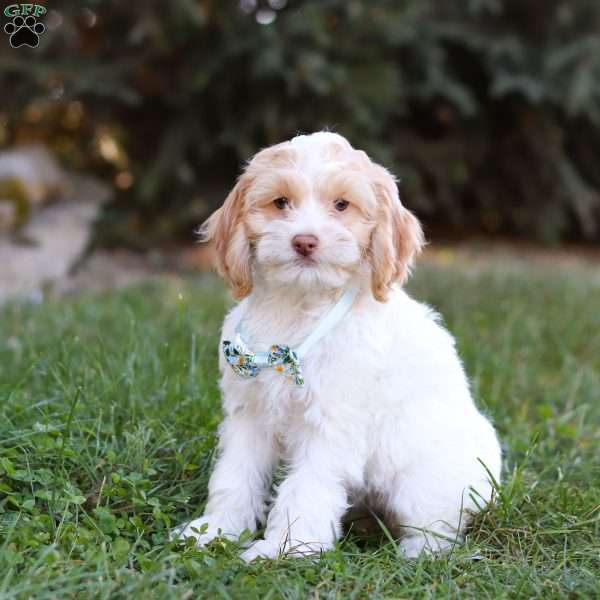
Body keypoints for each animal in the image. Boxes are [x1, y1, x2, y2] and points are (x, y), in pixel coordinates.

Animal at [175, 132, 502, 564]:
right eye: (280, 202)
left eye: (342, 205)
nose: (305, 241)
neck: (298, 306)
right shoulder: (249, 416)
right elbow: (235, 475)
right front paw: (215, 531)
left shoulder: (329, 425)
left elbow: (305, 488)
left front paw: (285, 549)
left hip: (426, 481)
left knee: (439, 525)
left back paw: (419, 553)